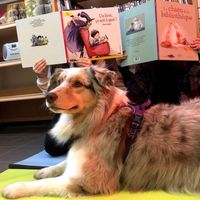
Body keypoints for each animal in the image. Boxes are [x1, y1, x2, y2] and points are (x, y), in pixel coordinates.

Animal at [1, 66, 200, 198]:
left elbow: (47, 184)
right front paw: (45, 170)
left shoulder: (92, 180)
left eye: (77, 83)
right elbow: (64, 162)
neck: (101, 117)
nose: (48, 96)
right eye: (59, 82)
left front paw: (15, 187)